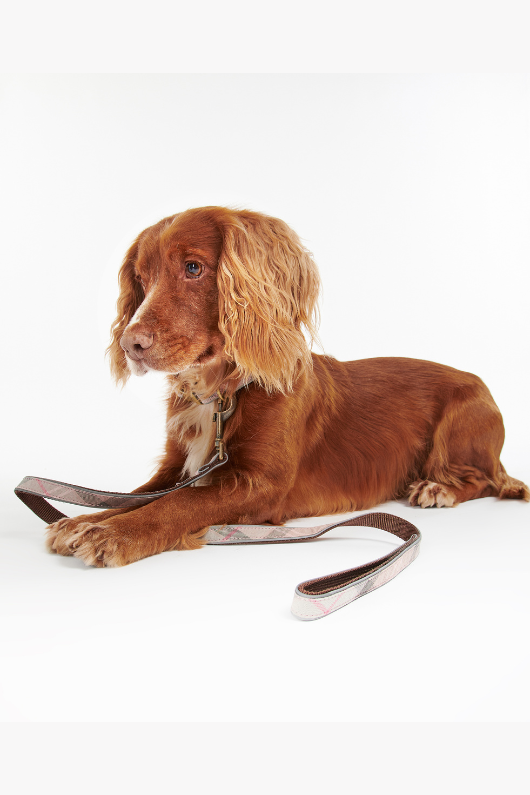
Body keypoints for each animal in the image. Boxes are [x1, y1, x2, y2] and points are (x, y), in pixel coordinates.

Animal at [46, 205, 528, 564]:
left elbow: (177, 504)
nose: (131, 344)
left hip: (463, 418)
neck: (223, 391)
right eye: (141, 279)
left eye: (193, 267)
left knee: (484, 477)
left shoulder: (263, 486)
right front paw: (80, 522)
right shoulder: (176, 467)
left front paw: (115, 535)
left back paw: (437, 488)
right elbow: (132, 496)